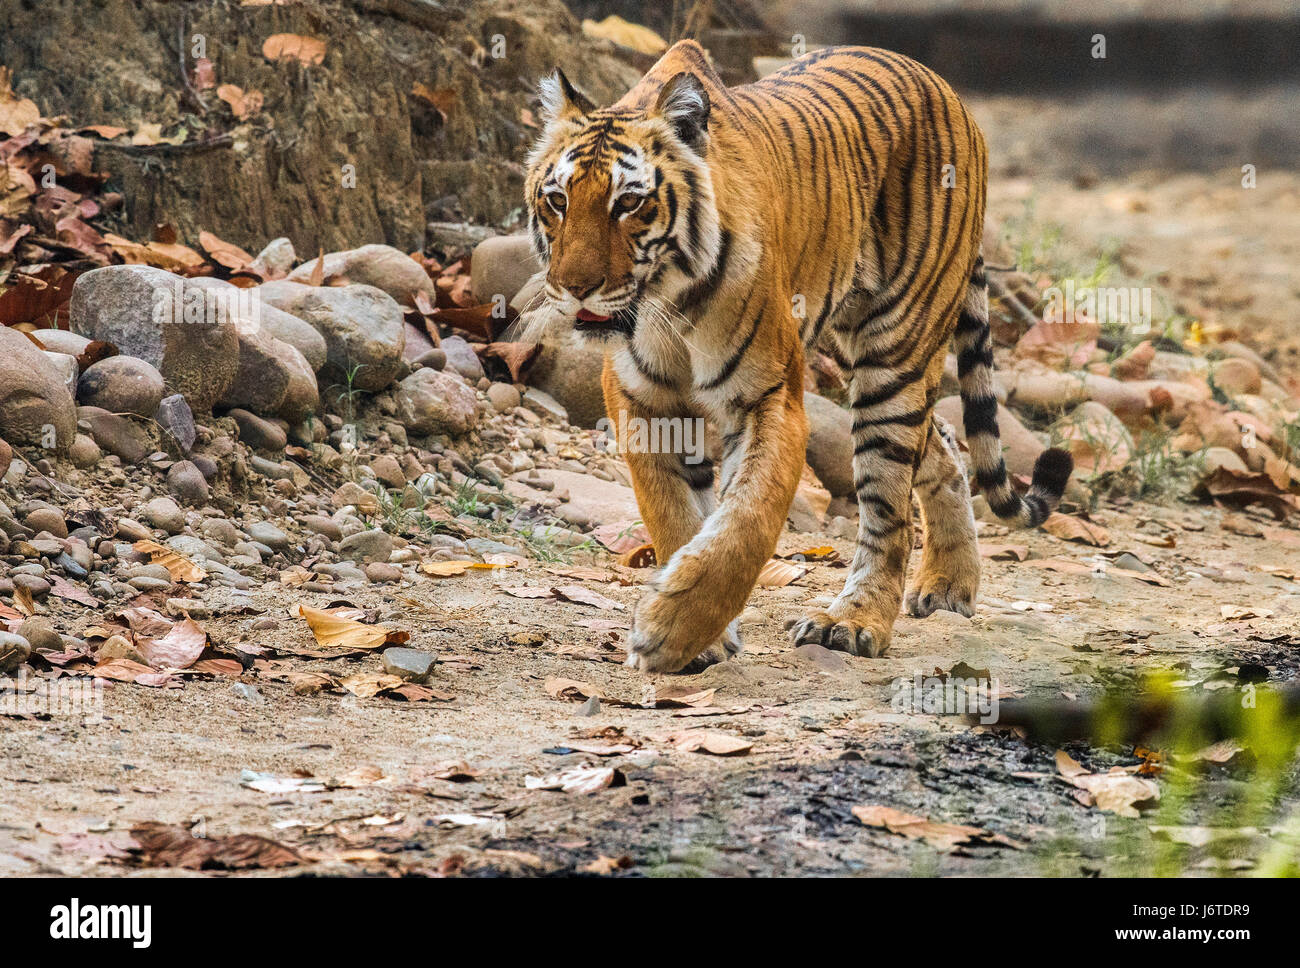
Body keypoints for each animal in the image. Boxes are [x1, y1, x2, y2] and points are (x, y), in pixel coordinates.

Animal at [522, 39, 1071, 670]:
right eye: (557, 200)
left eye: (629, 203)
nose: (574, 287)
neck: (670, 302)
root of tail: (949, 91)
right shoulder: (642, 400)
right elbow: (673, 512)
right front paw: (700, 638)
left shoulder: (770, 398)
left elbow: (748, 520)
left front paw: (671, 629)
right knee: (944, 448)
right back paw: (950, 583)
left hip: (896, 352)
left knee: (890, 510)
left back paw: (854, 621)